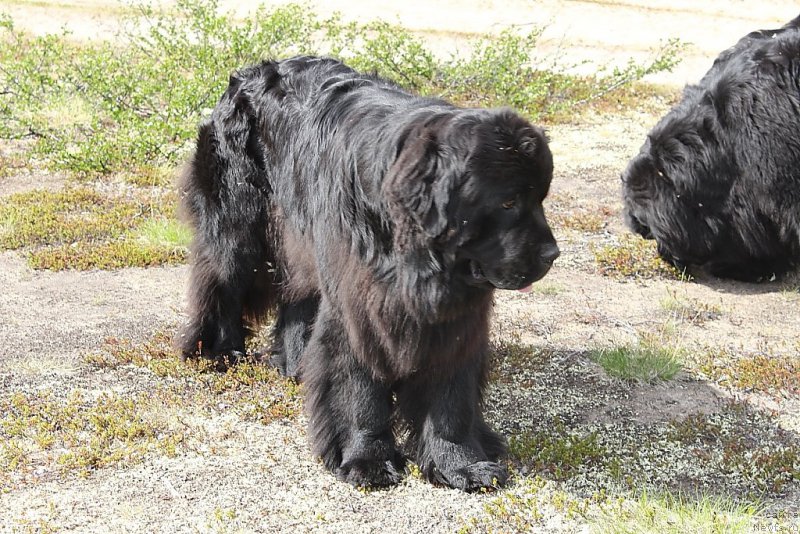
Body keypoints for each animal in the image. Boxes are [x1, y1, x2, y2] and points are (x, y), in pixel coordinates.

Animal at [178, 56, 560, 492]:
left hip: (302, 239)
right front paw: (366, 460)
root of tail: (249, 72)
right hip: (238, 227)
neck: (415, 259)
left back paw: (297, 364)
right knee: (222, 279)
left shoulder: (454, 323)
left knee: (297, 297)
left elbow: (452, 400)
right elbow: (359, 391)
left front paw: (461, 464)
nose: (552, 254)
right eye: (509, 202)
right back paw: (218, 351)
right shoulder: (358, 310)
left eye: (541, 198)